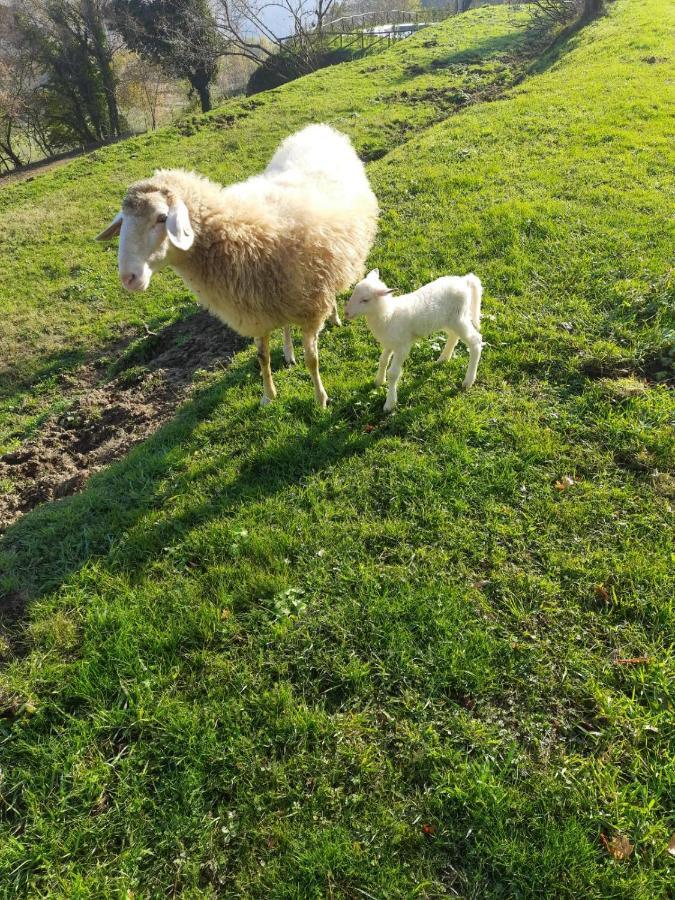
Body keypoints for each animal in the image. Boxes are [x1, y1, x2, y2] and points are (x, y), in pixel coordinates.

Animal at [95, 125, 380, 406]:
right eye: (124, 222)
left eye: (162, 217)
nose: (128, 278)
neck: (236, 231)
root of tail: (318, 129)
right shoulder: (257, 308)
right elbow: (263, 357)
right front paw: (268, 396)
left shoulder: (309, 307)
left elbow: (312, 359)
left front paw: (321, 398)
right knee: (286, 325)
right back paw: (288, 352)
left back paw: (333, 318)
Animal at [346, 268, 484, 414]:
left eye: (365, 300)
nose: (346, 313)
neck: (389, 315)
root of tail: (464, 281)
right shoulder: (389, 343)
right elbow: (382, 360)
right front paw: (378, 381)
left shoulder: (402, 347)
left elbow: (393, 373)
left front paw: (390, 403)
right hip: (449, 321)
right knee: (453, 336)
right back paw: (443, 359)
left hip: (459, 318)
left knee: (476, 341)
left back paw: (468, 381)